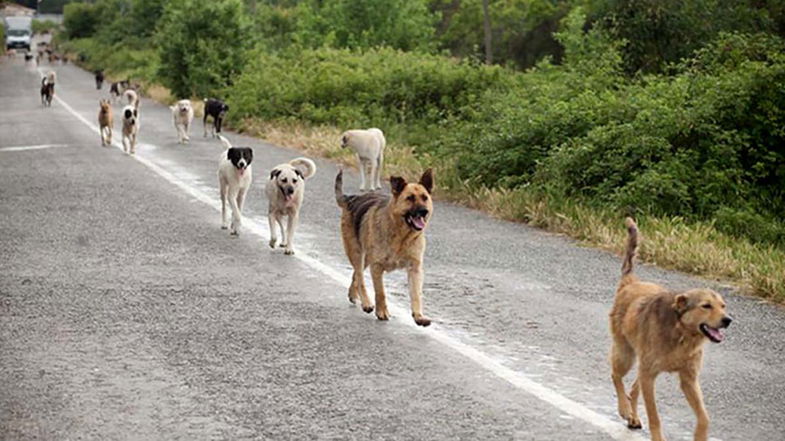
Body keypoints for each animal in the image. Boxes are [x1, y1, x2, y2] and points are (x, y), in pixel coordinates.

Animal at [332, 168, 434, 326]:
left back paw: (353, 294)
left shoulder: (415, 268)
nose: (424, 211)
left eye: (425, 198)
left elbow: (416, 294)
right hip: (357, 254)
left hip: (366, 258)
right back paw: (366, 302)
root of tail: (351, 199)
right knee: (360, 277)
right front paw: (381, 312)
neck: (401, 236)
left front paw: (418, 316)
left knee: (355, 275)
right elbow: (381, 292)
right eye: (410, 198)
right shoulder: (377, 267)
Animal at [608, 217, 732, 440]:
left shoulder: (689, 379)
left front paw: (700, 435)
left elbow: (704, 417)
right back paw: (624, 409)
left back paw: (633, 416)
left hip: (641, 364)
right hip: (626, 355)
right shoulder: (650, 375)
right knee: (616, 376)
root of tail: (630, 282)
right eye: (706, 306)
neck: (682, 333)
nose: (728, 320)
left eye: (723, 306)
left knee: (633, 388)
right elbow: (654, 415)